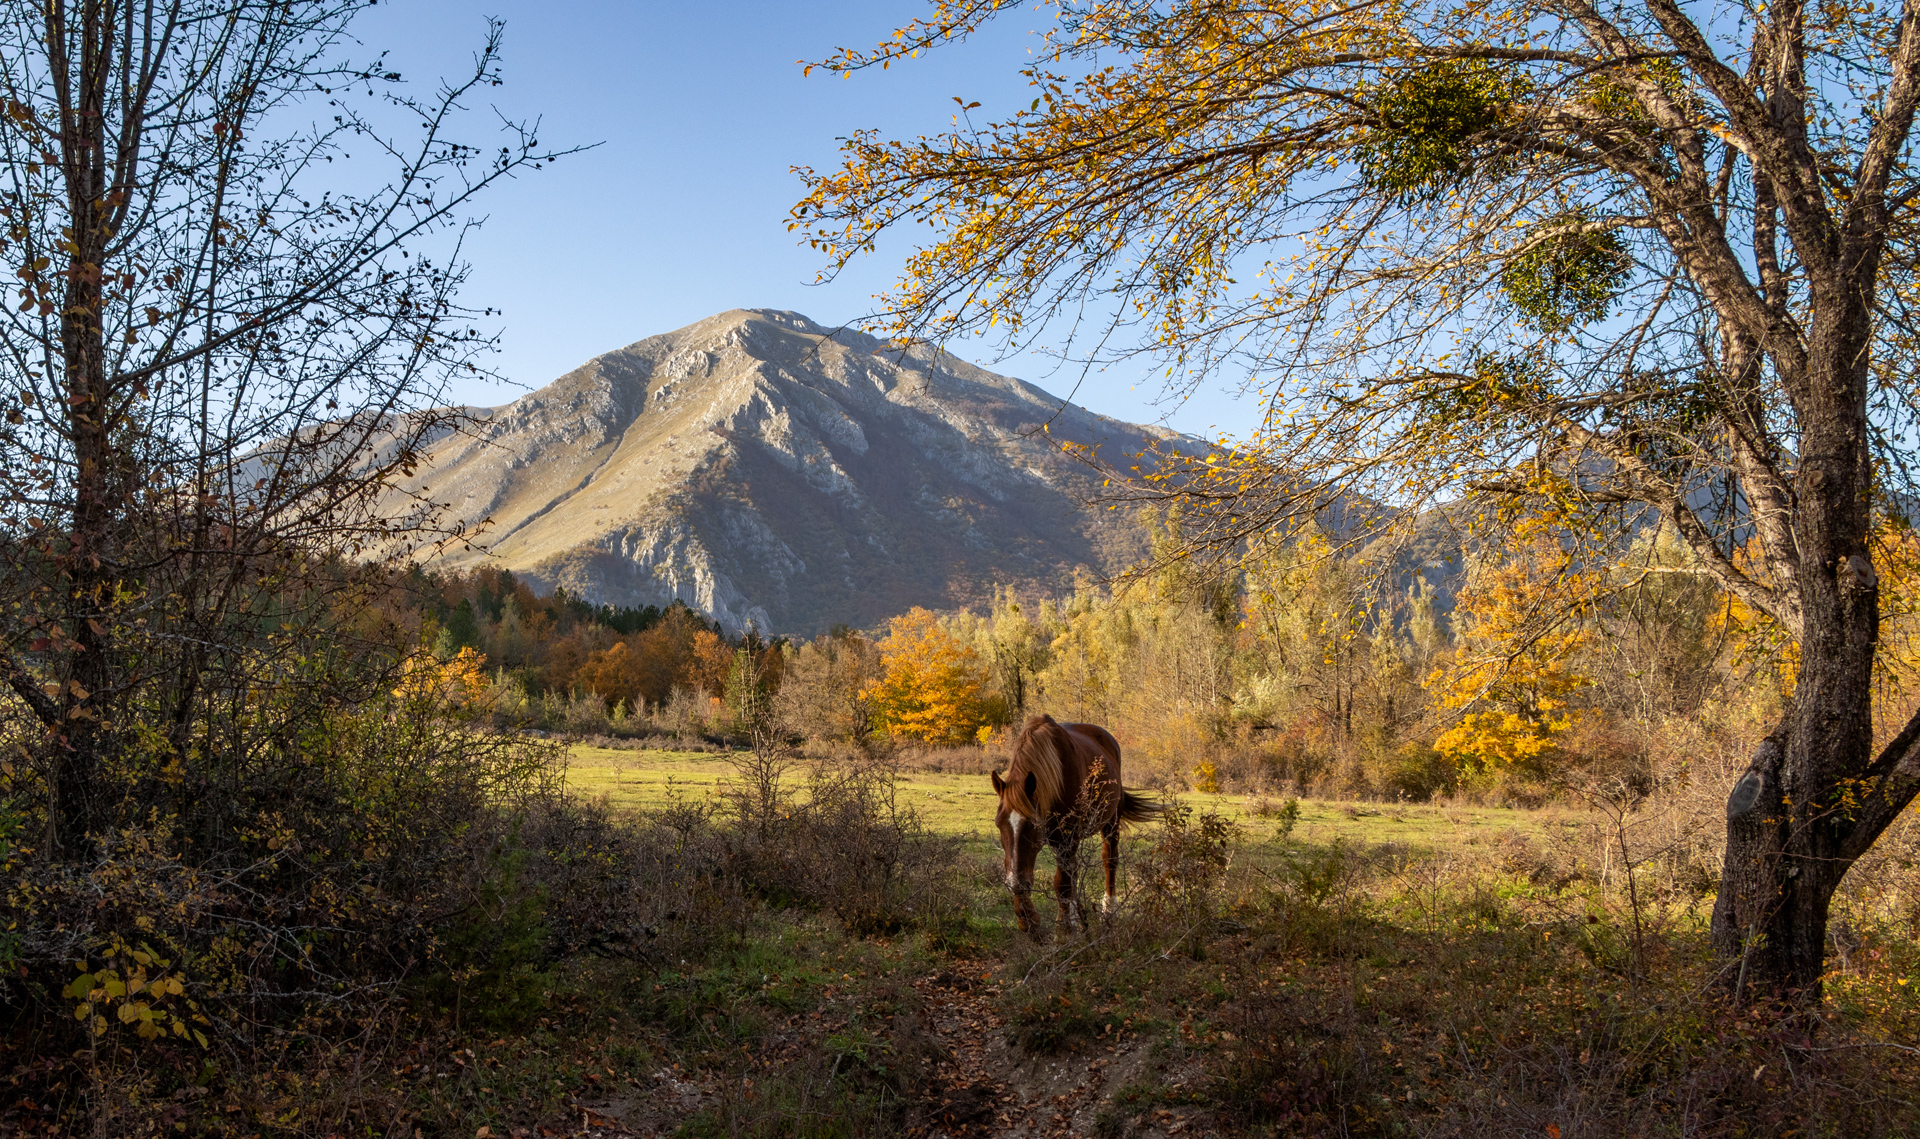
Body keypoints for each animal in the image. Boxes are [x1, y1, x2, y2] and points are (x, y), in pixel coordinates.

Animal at [990, 710, 1152, 933]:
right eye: (998, 823)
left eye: (1033, 826)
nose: (1016, 885)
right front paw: (1028, 920)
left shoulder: (1068, 837)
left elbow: (1063, 884)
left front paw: (1063, 931)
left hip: (1110, 822)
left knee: (1109, 860)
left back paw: (1109, 910)